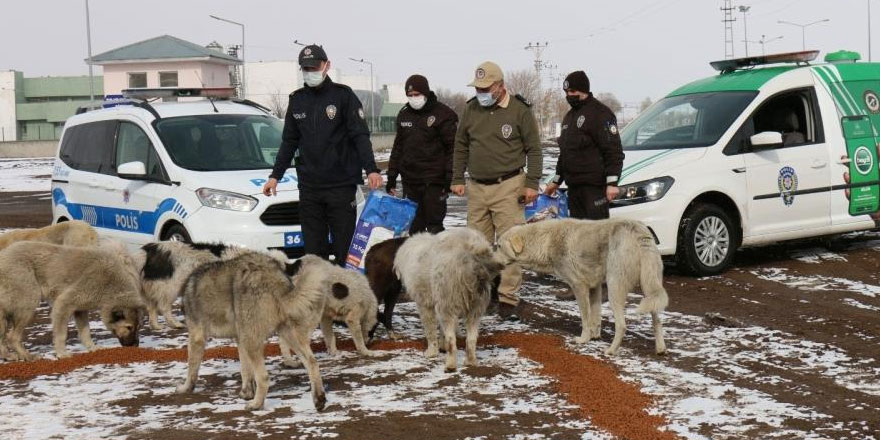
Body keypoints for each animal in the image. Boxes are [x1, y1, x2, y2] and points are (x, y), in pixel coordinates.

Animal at [0, 241, 143, 360]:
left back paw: (8, 355)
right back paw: (27, 356)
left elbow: (85, 332)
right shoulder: (64, 303)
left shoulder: (80, 310)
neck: (110, 286)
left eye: (138, 327)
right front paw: (62, 353)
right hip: (28, 304)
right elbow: (61, 334)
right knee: (12, 337)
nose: (136, 345)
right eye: (129, 327)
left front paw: (93, 348)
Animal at [177, 251, 328, 412]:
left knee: (264, 377)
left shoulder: (196, 336)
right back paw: (319, 400)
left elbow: (191, 367)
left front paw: (185, 388)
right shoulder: (240, 339)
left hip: (252, 340)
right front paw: (246, 393)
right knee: (312, 362)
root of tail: (275, 279)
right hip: (283, 335)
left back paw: (256, 405)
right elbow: (246, 371)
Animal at [396, 229, 506, 372]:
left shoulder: (425, 303)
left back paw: (450, 365)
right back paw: (470, 361)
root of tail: (472, 254)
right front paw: (441, 346)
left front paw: (432, 352)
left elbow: (430, 328)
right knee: (471, 338)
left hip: (447, 300)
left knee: (451, 340)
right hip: (475, 307)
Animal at [496, 218, 668, 356]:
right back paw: (660, 349)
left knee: (622, 326)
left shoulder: (579, 287)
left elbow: (585, 318)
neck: (545, 241)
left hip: (615, 289)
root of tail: (638, 231)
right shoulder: (595, 287)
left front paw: (583, 339)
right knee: (657, 321)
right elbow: (595, 316)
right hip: (649, 291)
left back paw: (611, 351)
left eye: (498, 247)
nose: (491, 259)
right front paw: (594, 336)